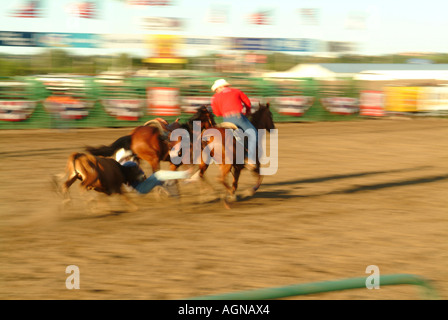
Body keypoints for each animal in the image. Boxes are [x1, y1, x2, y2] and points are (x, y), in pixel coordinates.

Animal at [86, 105, 216, 172]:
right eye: (211, 116)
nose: (215, 126)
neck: (189, 132)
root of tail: (132, 135)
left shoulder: (175, 163)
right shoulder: (185, 160)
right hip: (153, 159)